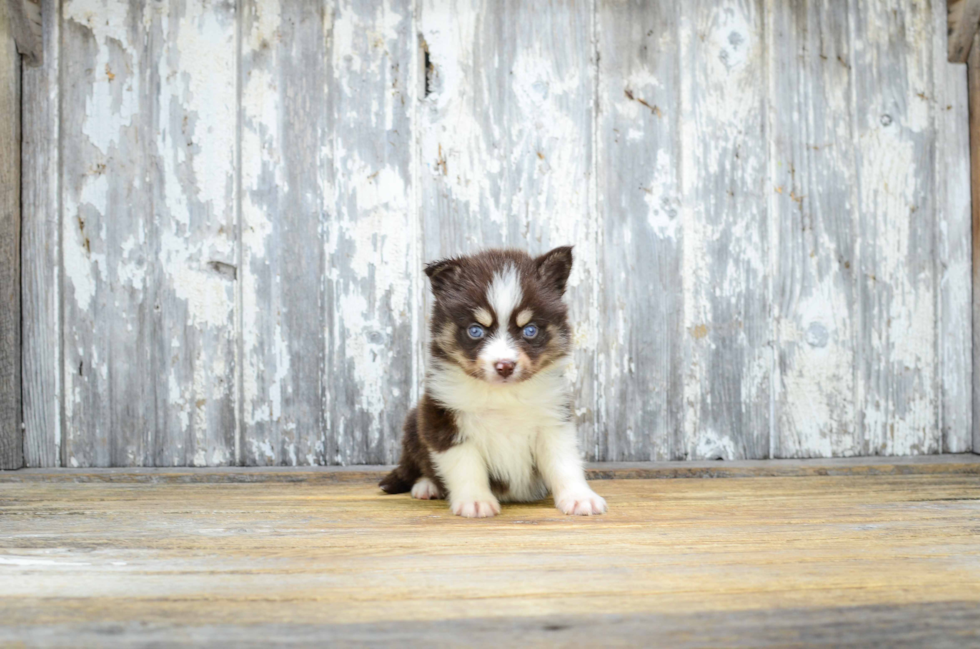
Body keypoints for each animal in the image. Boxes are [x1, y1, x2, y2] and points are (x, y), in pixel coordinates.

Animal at [378, 246, 608, 520]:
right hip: (414, 423)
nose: (505, 366)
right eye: (475, 330)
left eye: (530, 330)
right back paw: (427, 485)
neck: (502, 395)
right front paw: (475, 501)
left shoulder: (552, 420)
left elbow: (564, 463)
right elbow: (465, 465)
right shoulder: (444, 418)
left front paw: (579, 498)